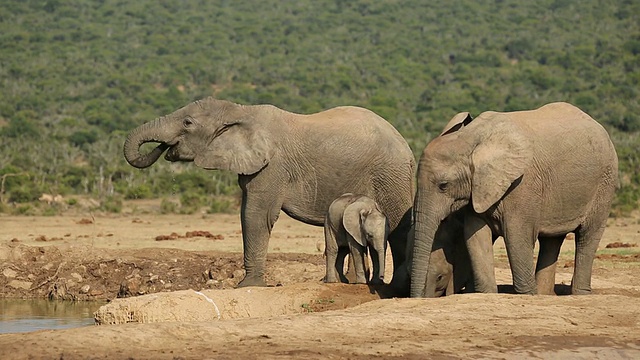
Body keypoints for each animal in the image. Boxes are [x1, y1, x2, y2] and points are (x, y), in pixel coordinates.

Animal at [124, 97, 416, 288]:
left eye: (187, 122)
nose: (164, 148)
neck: (241, 111)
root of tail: (407, 147)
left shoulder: (273, 166)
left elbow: (255, 214)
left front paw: (247, 286)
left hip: (391, 176)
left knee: (398, 228)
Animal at [412, 102, 616, 298]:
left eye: (443, 185)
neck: (470, 139)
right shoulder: (477, 190)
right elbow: (475, 236)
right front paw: (487, 294)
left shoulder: (523, 184)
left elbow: (517, 235)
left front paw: (527, 295)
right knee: (552, 240)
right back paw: (544, 294)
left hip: (605, 182)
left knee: (587, 236)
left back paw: (578, 294)